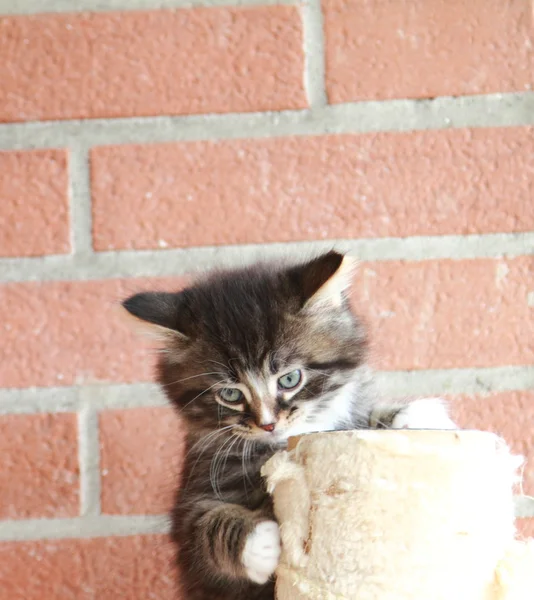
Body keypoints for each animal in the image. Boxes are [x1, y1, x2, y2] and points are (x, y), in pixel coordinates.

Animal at [122, 252, 456, 600]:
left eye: (290, 379)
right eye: (230, 394)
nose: (268, 424)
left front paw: (410, 414)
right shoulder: (192, 499)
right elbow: (205, 524)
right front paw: (258, 543)